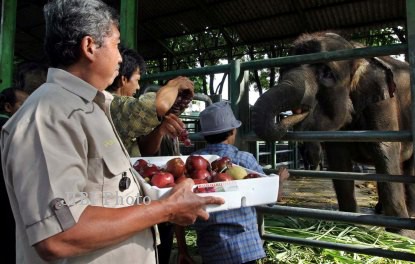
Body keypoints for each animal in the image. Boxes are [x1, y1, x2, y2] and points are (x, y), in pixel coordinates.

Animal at [252, 31, 414, 237]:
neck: (355, 50)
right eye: (283, 69)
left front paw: (401, 235)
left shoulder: (383, 104)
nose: (284, 118)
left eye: (327, 73)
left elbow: (385, 152)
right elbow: (339, 160)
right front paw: (350, 225)